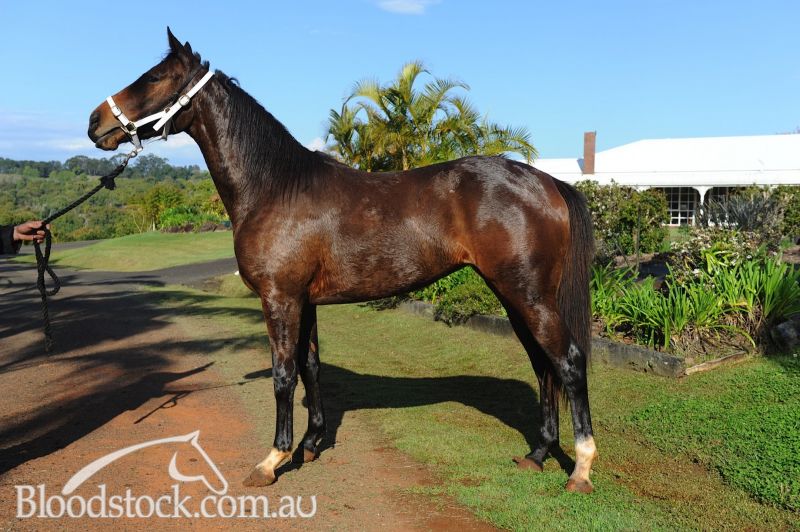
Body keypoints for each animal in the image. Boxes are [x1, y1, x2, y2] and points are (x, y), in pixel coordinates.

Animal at [88, 28, 598, 494]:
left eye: (155, 77)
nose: (95, 122)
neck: (274, 186)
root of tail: (547, 182)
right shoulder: (304, 301)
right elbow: (310, 367)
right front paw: (311, 444)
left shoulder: (280, 299)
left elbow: (282, 374)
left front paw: (273, 460)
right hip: (514, 296)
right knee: (543, 364)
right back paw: (538, 453)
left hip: (527, 294)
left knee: (569, 361)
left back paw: (581, 469)